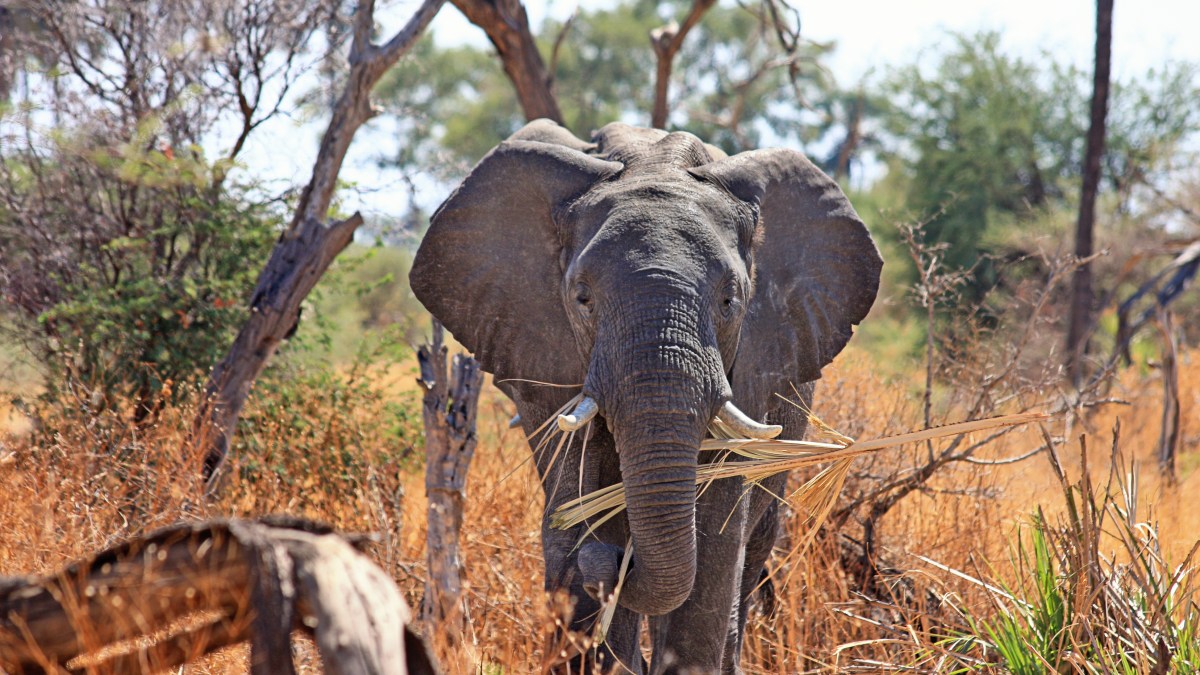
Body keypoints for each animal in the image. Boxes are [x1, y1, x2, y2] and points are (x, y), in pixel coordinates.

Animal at [410, 118, 883, 667]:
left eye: (730, 300)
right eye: (582, 298)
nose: (615, 564)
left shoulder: (752, 359)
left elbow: (716, 530)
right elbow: (579, 495)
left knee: (753, 545)